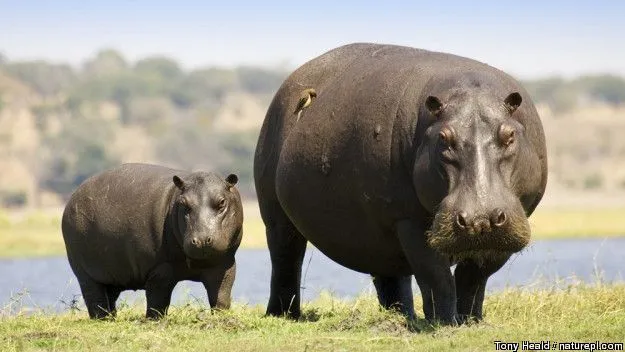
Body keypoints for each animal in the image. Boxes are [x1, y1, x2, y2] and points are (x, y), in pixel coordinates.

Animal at [60, 163, 241, 320]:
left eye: (222, 202)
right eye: (183, 203)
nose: (202, 240)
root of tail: (72, 198)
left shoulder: (225, 264)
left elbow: (221, 295)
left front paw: (221, 317)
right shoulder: (160, 269)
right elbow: (158, 299)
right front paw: (153, 320)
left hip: (113, 274)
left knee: (108, 297)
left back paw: (111, 318)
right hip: (85, 272)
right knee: (94, 297)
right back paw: (102, 319)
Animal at [254, 42, 544, 324]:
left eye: (509, 135)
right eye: (443, 138)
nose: (479, 219)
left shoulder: (511, 222)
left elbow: (474, 277)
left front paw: (471, 321)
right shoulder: (409, 219)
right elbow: (436, 276)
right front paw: (444, 323)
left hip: (376, 231)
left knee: (389, 275)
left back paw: (404, 317)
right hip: (275, 213)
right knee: (285, 259)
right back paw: (282, 315)